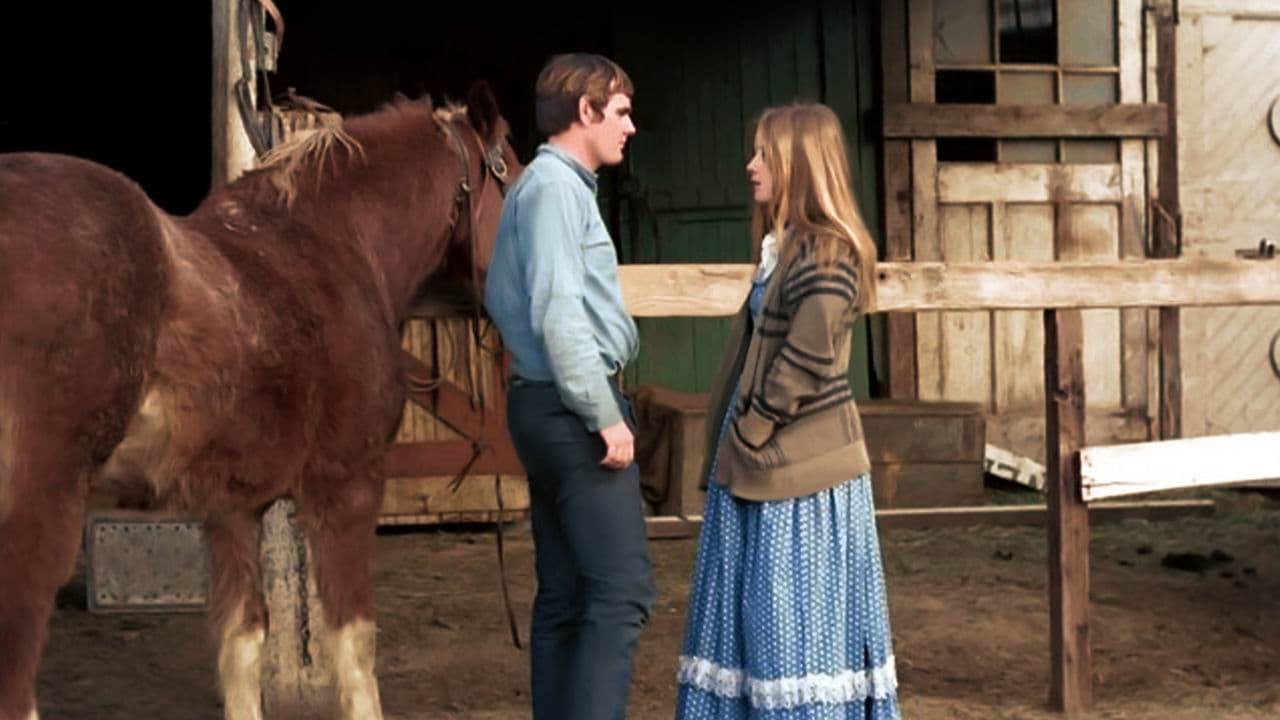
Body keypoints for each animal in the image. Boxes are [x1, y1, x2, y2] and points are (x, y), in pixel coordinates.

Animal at [1, 79, 519, 717]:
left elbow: (242, 644)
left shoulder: (230, 508)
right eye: (519, 174)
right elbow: (354, 647)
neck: (330, 246)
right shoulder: (346, 488)